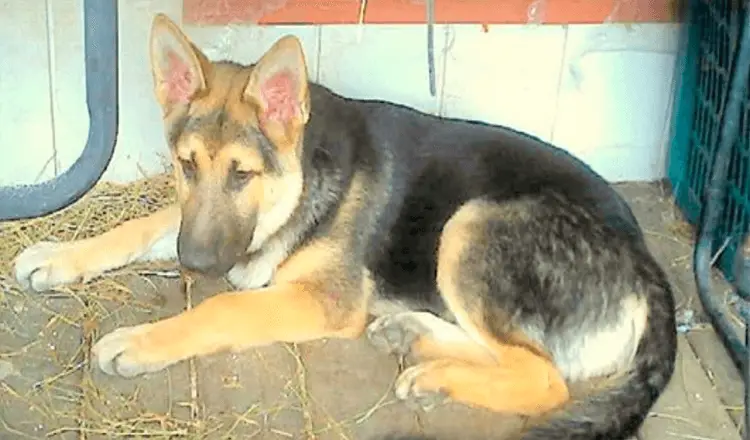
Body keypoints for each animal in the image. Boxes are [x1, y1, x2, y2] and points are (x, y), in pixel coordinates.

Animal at [14, 12, 680, 440]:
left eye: (242, 175)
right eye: (187, 166)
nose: (195, 265)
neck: (298, 189)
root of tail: (648, 268)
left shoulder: (320, 299)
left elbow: (222, 309)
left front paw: (143, 340)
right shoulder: (192, 222)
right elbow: (139, 225)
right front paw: (58, 254)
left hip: (471, 223)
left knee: (547, 377)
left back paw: (437, 374)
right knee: (520, 356)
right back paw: (414, 335)